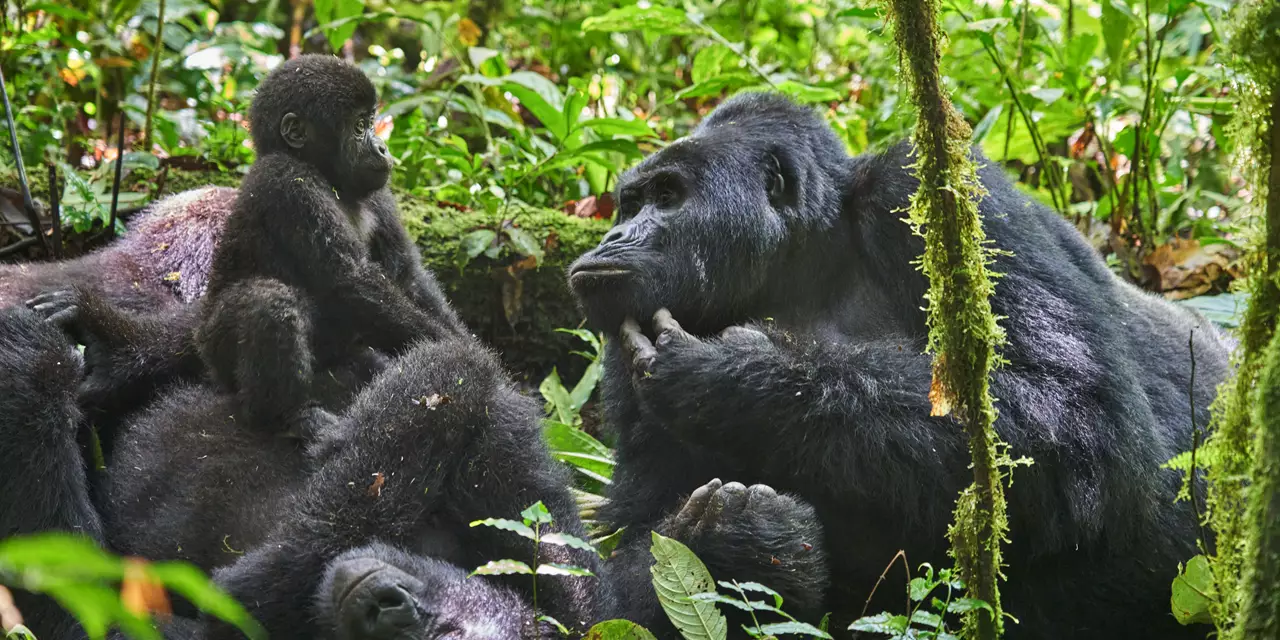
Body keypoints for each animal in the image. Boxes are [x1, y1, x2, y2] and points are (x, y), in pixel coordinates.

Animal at [197, 55, 463, 440]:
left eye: (371, 121)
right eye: (359, 127)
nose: (383, 148)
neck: (324, 173)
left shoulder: (380, 193)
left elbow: (408, 276)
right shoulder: (287, 181)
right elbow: (350, 279)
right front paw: (457, 352)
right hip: (215, 354)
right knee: (270, 303)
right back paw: (286, 416)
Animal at [570, 92, 1228, 637]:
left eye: (668, 197)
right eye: (628, 203)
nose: (611, 238)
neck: (805, 258)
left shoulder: (930, 188)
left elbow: (1077, 419)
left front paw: (733, 380)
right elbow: (617, 575)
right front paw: (731, 542)